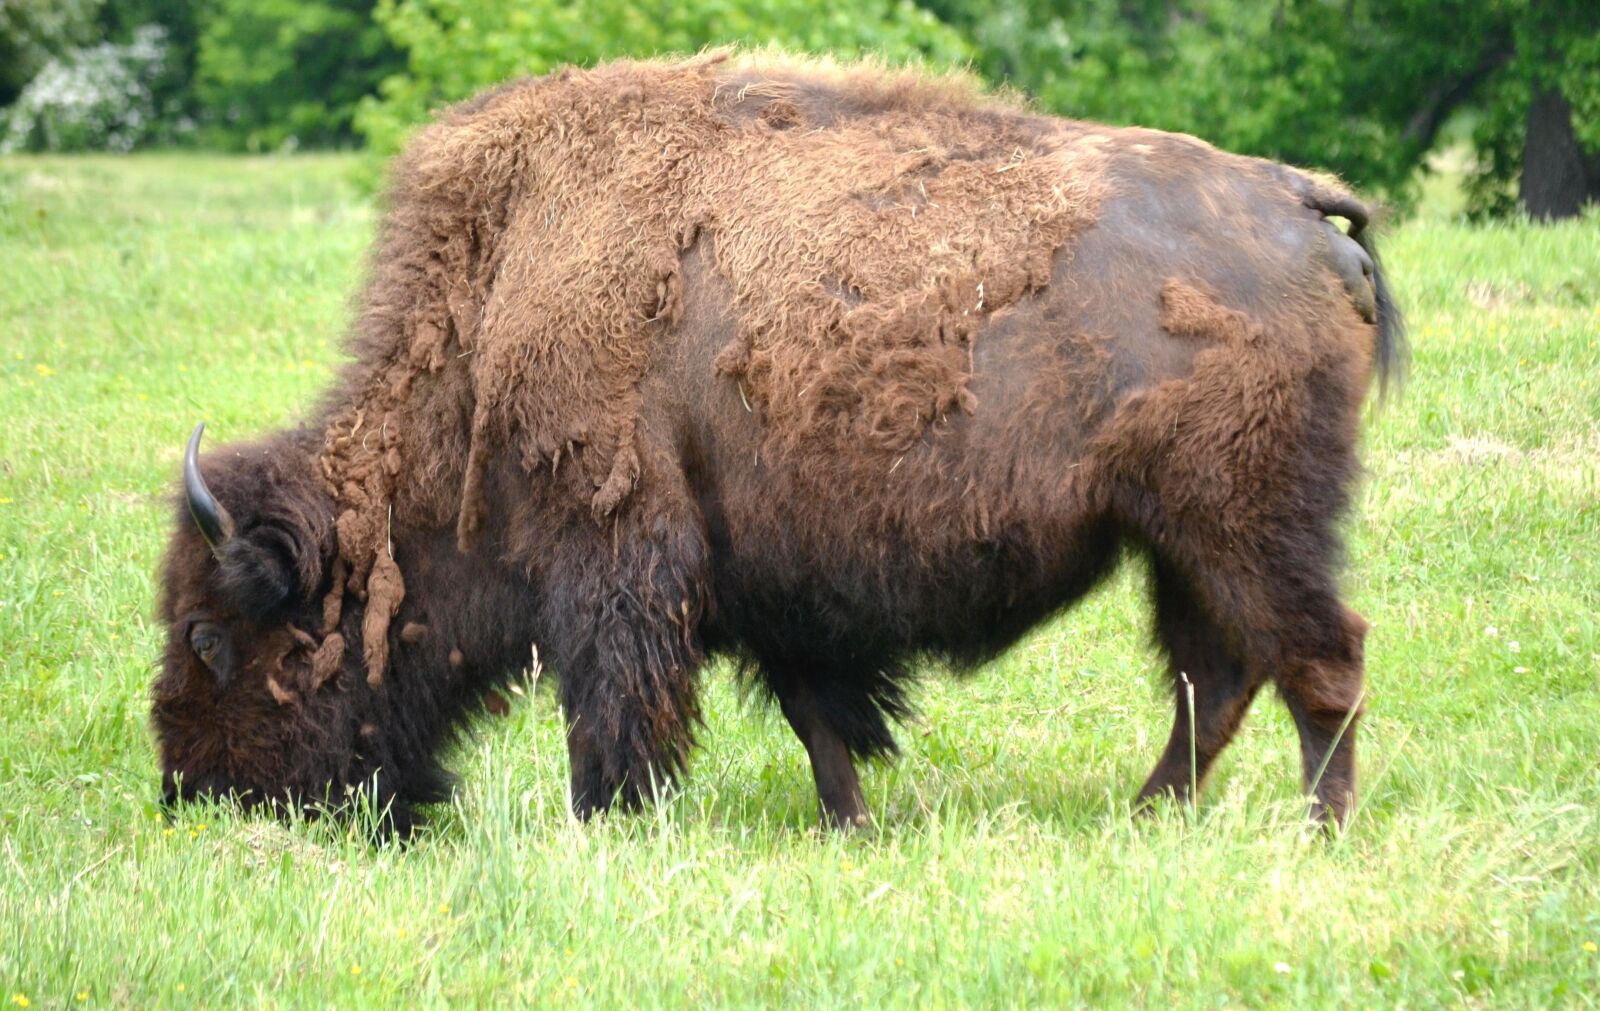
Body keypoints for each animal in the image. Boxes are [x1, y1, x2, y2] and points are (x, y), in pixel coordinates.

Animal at [153, 52, 1402, 834]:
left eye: (213, 638)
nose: (193, 796)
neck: (496, 303)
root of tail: (1296, 203)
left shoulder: (616, 557)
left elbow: (617, 707)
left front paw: (604, 825)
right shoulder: (770, 581)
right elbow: (816, 716)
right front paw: (849, 825)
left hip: (1241, 519)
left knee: (1318, 657)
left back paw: (1317, 833)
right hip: (1177, 539)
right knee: (1218, 673)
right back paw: (1148, 819)